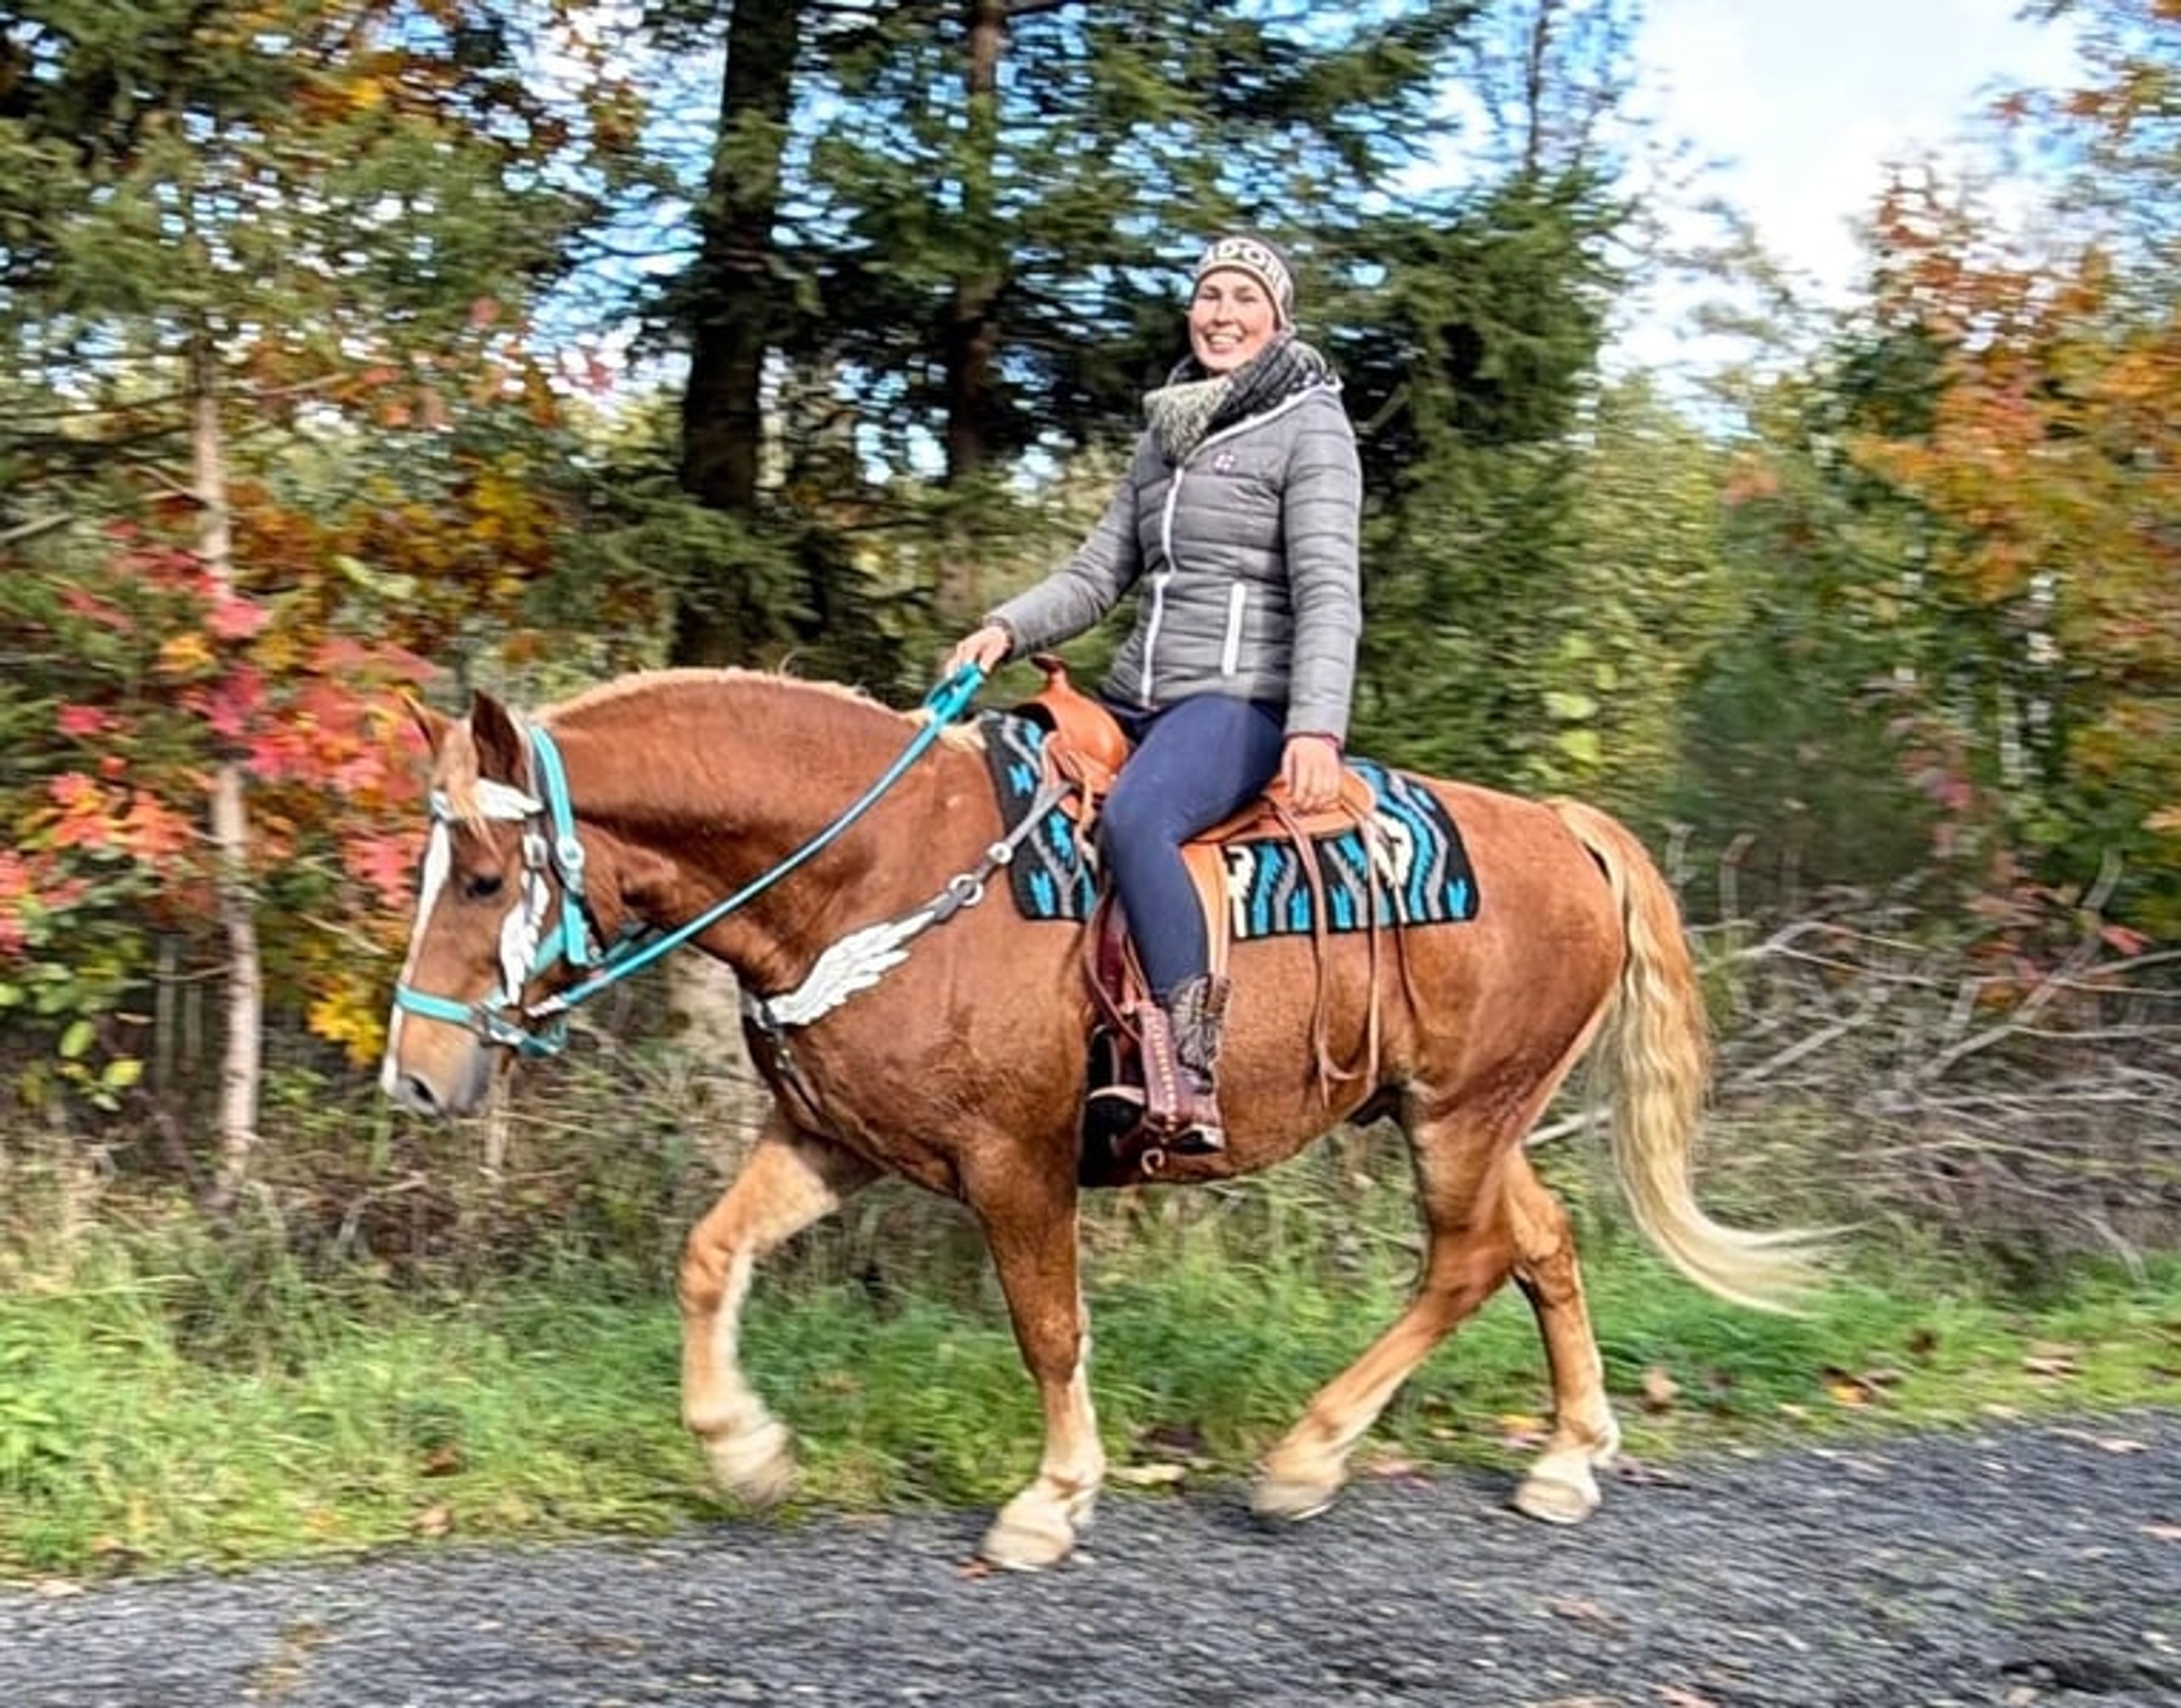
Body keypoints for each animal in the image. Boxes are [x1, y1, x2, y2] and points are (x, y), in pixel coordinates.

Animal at [380, 665, 1822, 1570]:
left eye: (487, 876)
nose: (416, 1073)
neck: (875, 868)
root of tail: (1568, 832)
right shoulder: (834, 1140)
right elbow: (709, 1253)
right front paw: (745, 1454)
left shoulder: (1013, 1160)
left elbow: (1051, 1328)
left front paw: (1052, 1498)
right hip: (1467, 1116)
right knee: (1544, 1242)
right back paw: (1569, 1456)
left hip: (1460, 1118)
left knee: (1468, 1259)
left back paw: (1307, 1456)